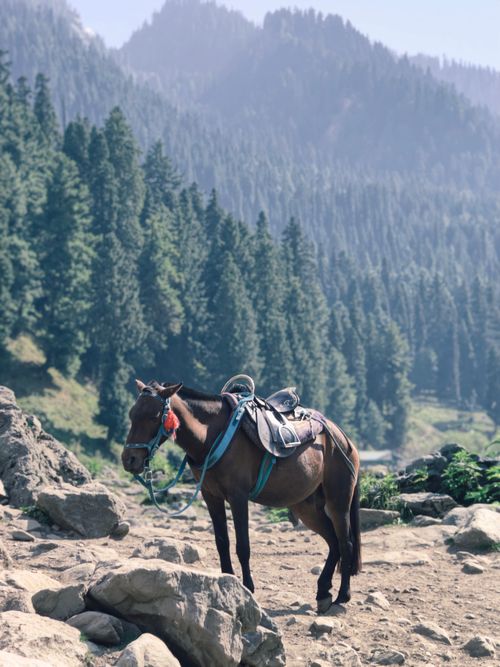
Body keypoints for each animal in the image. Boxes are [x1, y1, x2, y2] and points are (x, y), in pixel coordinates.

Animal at [121, 379, 361, 612]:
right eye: (132, 414)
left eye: (153, 417)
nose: (129, 459)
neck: (211, 435)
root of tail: (343, 437)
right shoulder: (211, 496)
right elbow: (222, 542)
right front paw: (227, 585)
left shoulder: (238, 497)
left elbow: (243, 546)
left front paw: (248, 589)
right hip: (307, 507)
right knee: (333, 542)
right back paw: (323, 592)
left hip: (338, 502)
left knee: (345, 543)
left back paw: (342, 596)